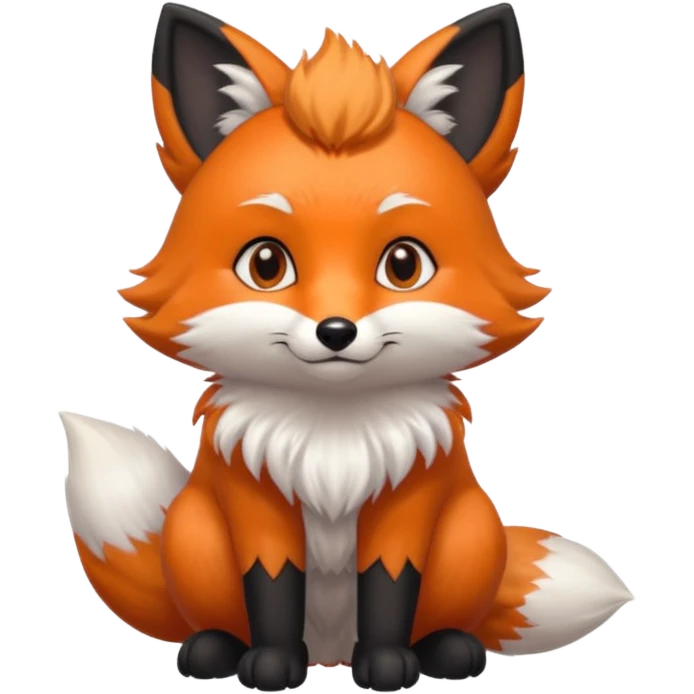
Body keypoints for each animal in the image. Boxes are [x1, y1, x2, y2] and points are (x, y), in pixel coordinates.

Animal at [58, 1, 635, 691]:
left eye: (404, 265)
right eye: (266, 264)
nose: (336, 332)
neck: (333, 436)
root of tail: (329, 650)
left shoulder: (406, 505)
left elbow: (389, 588)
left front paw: (387, 666)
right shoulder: (258, 508)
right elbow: (271, 588)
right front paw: (271, 665)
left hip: (471, 530)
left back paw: (446, 649)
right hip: (193, 531)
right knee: (210, 616)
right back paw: (216, 650)